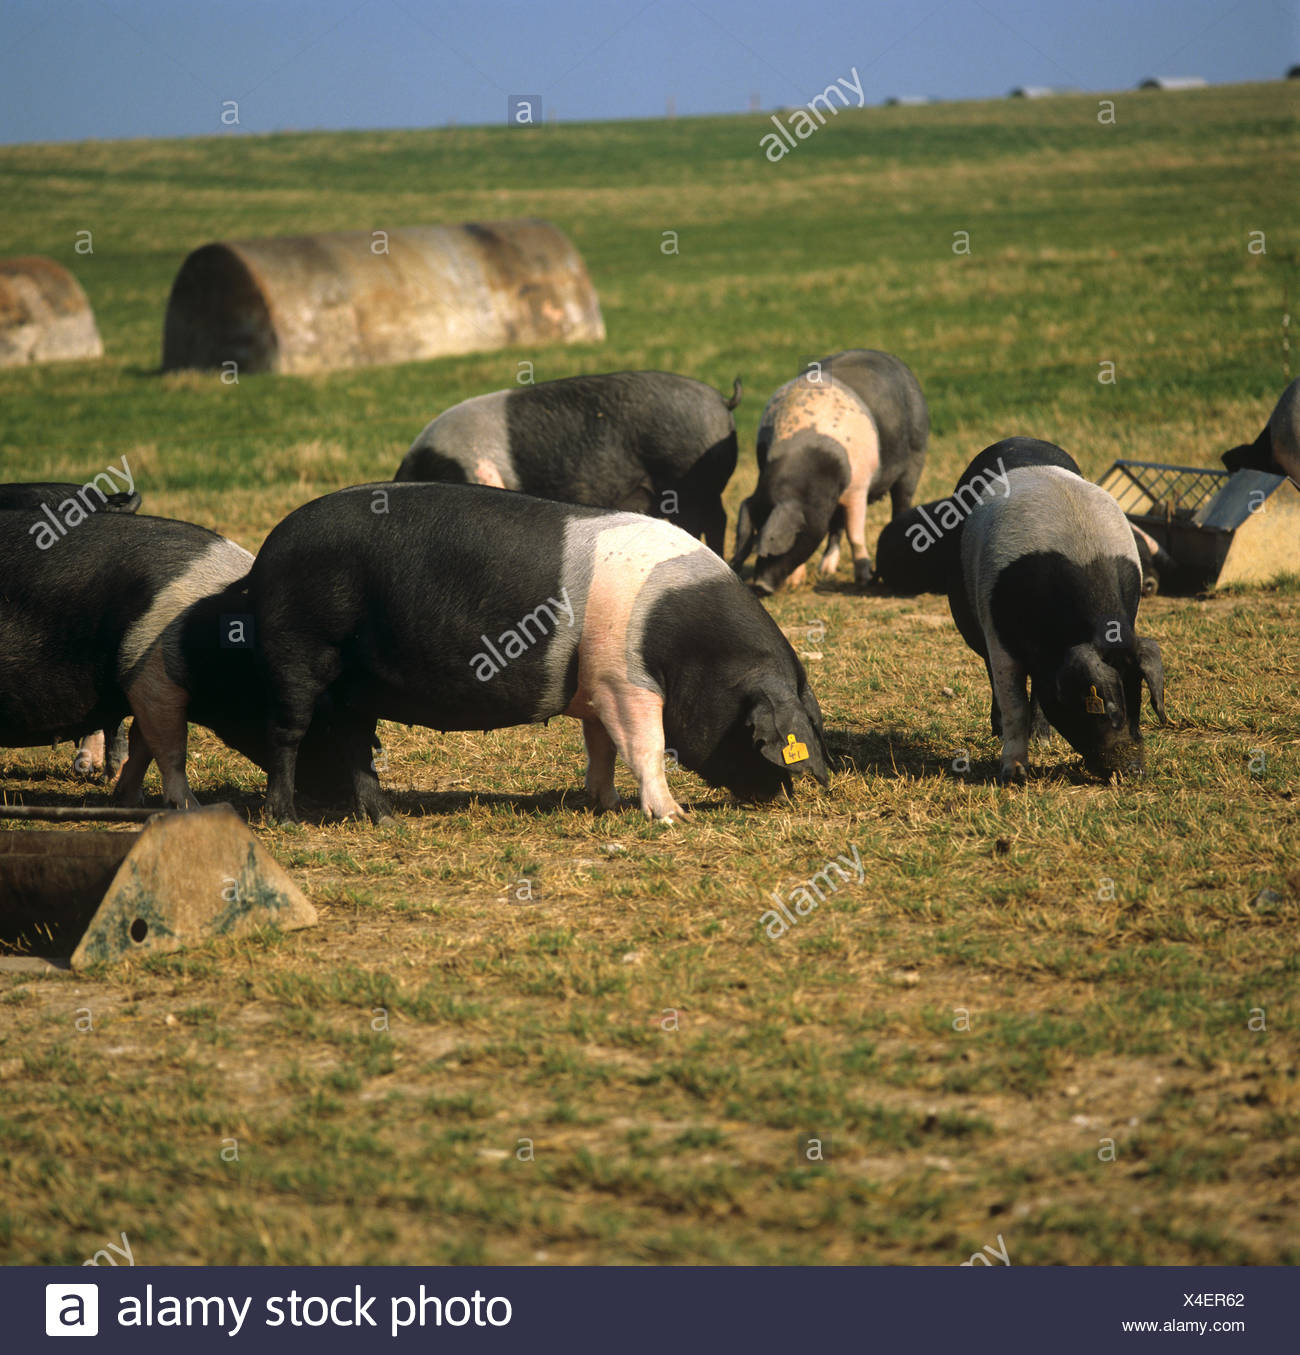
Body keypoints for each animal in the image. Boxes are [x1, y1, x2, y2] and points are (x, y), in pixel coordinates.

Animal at [176, 483, 829, 824]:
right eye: (753, 733)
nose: (784, 795)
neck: (689, 642)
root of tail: (264, 561)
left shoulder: (597, 684)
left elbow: (601, 747)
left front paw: (604, 804)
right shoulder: (626, 681)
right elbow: (643, 745)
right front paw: (672, 818)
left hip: (355, 684)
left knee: (355, 745)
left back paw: (387, 819)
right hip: (298, 650)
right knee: (286, 733)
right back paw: (283, 817)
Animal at [732, 349, 928, 593]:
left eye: (791, 538)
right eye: (755, 531)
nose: (760, 586)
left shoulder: (859, 486)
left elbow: (855, 534)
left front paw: (863, 579)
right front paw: (796, 582)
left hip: (916, 454)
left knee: (902, 500)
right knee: (836, 525)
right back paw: (826, 570)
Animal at [946, 438, 1167, 783]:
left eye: (1138, 696)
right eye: (1098, 706)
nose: (1134, 770)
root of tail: (1017, 439)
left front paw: (1039, 745)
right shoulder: (998, 634)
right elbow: (1012, 701)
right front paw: (1014, 773)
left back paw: (1042, 738)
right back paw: (1000, 731)